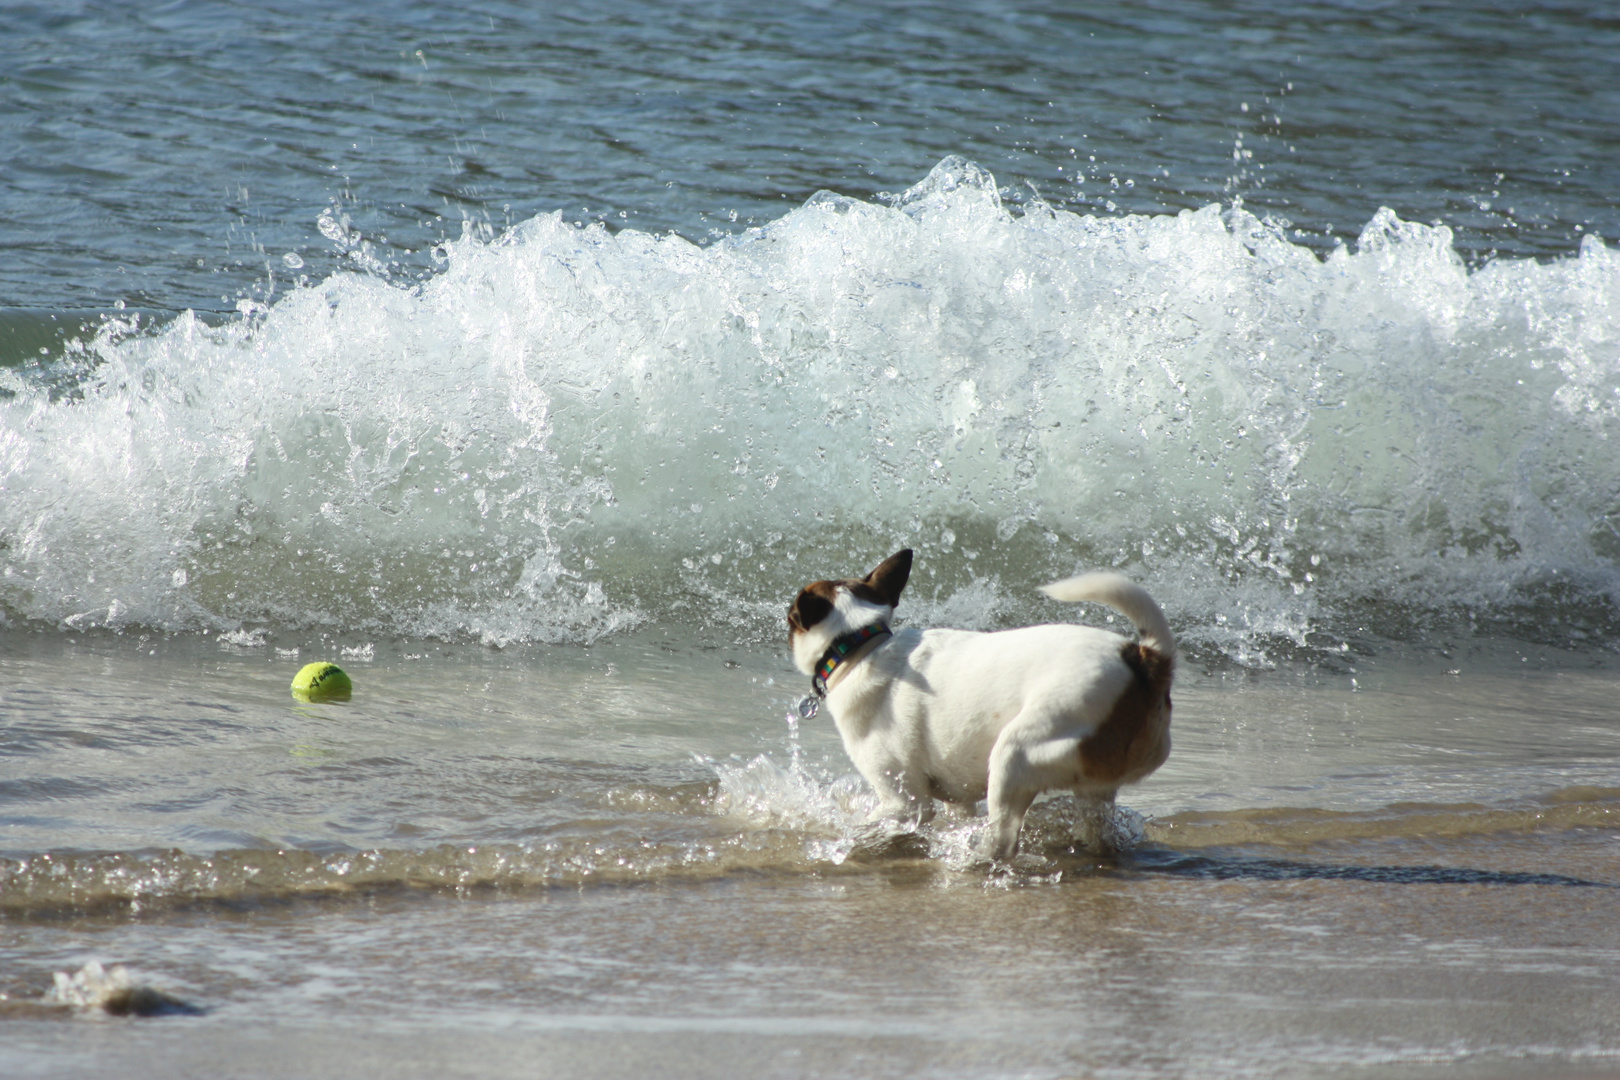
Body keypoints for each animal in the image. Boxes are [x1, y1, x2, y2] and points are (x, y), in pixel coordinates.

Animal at [790, 550, 1172, 861]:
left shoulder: (905, 802)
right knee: (1098, 830)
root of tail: (1145, 660)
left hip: (1016, 754)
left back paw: (973, 859)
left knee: (1002, 838)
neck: (858, 646)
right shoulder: (956, 798)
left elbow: (866, 825)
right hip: (1093, 789)